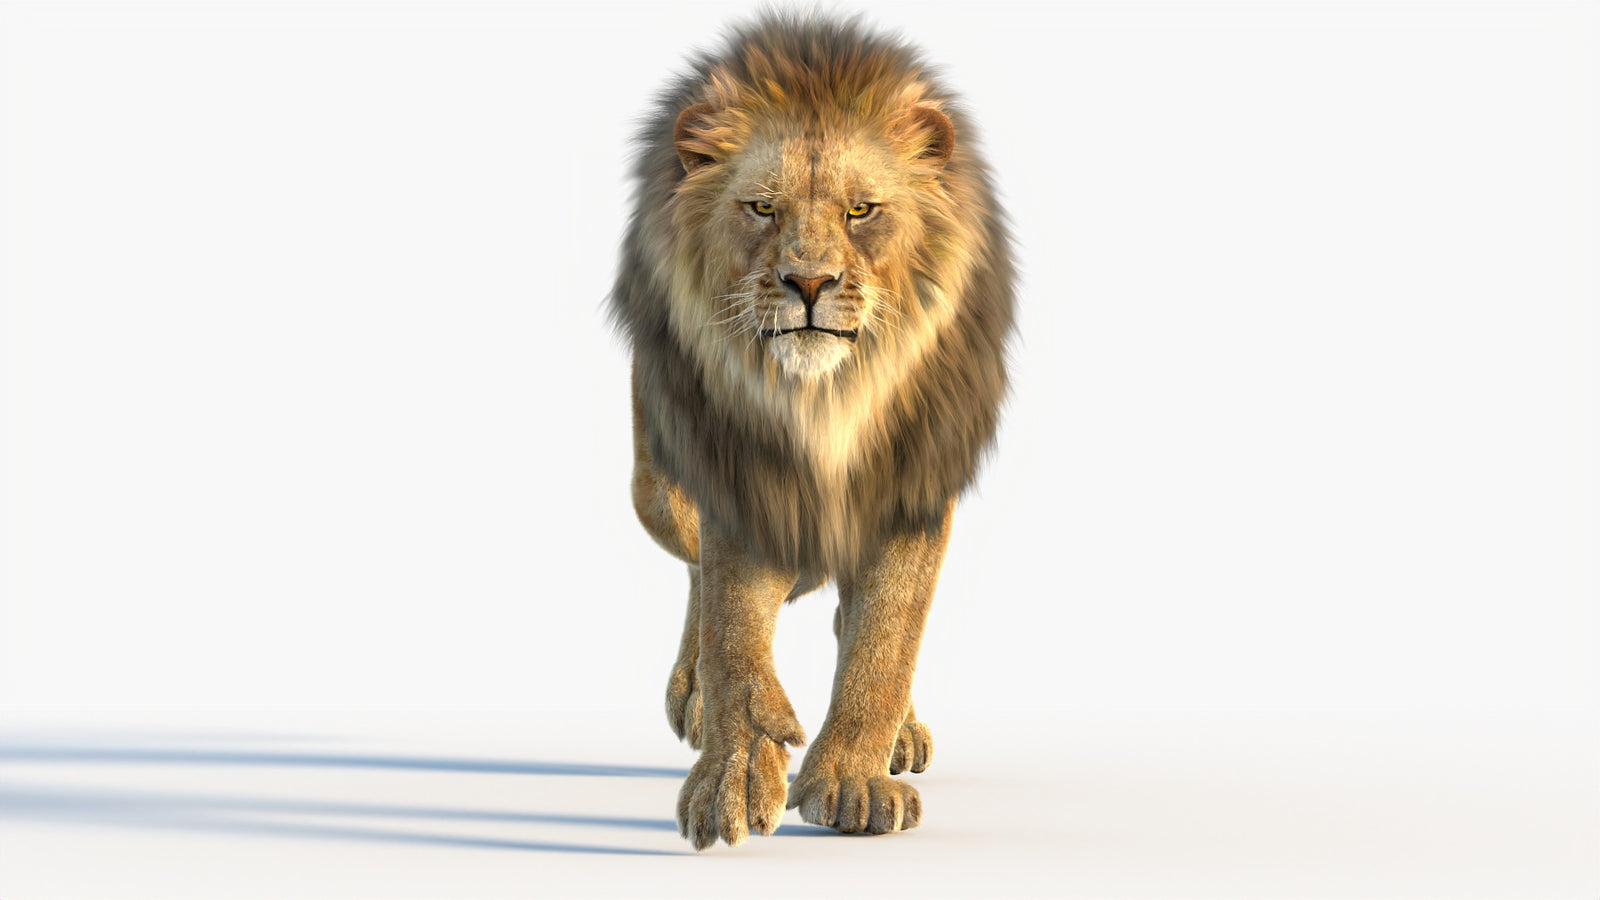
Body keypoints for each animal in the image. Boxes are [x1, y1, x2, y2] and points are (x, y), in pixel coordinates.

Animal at [609, 13, 1014, 850]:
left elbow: (887, 636)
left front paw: (854, 781)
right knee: (698, 570)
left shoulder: (916, 484)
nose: (809, 283)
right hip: (653, 487)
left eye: (862, 211)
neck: (828, 399)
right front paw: (735, 772)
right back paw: (698, 696)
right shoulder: (736, 470)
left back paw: (899, 735)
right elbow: (733, 624)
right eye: (762, 209)